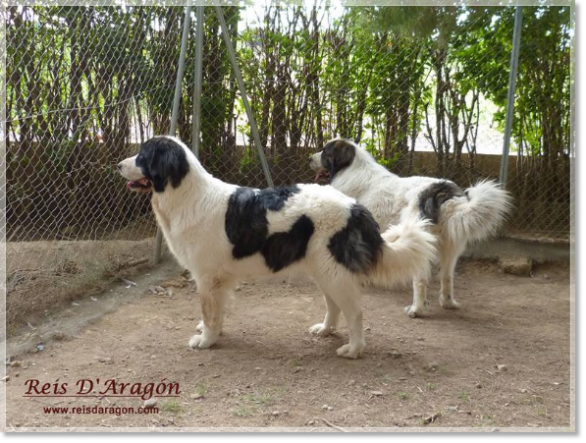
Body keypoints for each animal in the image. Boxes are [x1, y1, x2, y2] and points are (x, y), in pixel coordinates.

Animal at [117, 137, 434, 360]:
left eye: (143, 156)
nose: (118, 165)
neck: (185, 193)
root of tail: (356, 208)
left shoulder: (207, 277)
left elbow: (210, 312)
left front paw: (206, 340)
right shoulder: (219, 280)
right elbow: (217, 310)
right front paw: (212, 332)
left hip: (335, 274)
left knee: (355, 312)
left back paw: (354, 349)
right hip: (324, 272)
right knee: (334, 305)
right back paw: (325, 329)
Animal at [308, 140, 508, 318]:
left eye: (325, 151)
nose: (309, 158)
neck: (350, 170)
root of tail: (440, 192)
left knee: (420, 280)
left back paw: (416, 309)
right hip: (450, 248)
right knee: (447, 276)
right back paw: (448, 302)